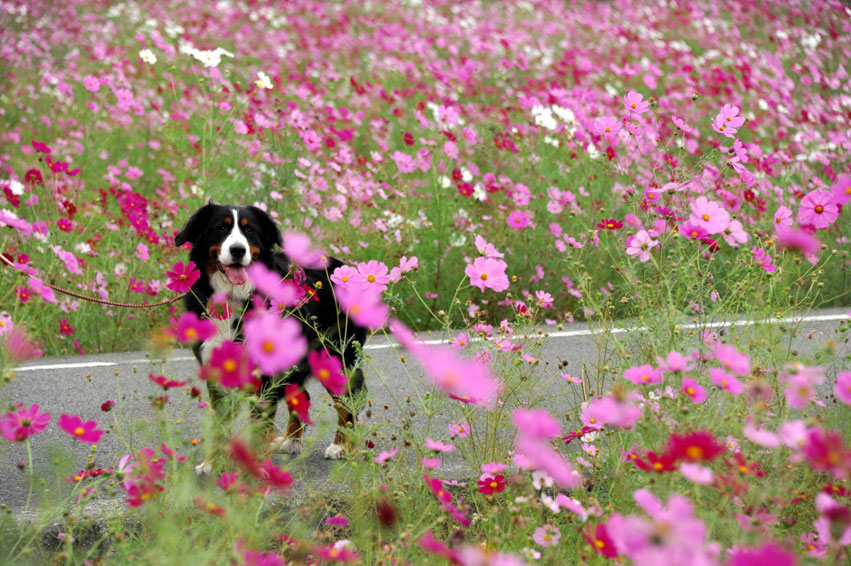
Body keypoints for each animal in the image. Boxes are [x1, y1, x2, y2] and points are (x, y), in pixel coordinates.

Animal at [175, 202, 368, 472]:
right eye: (221, 228)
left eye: (250, 230)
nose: (238, 250)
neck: (234, 298)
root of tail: (343, 266)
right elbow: (221, 426)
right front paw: (212, 463)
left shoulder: (262, 378)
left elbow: (258, 430)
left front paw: (254, 471)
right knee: (303, 397)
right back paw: (290, 441)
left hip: (337, 357)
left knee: (349, 400)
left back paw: (342, 446)